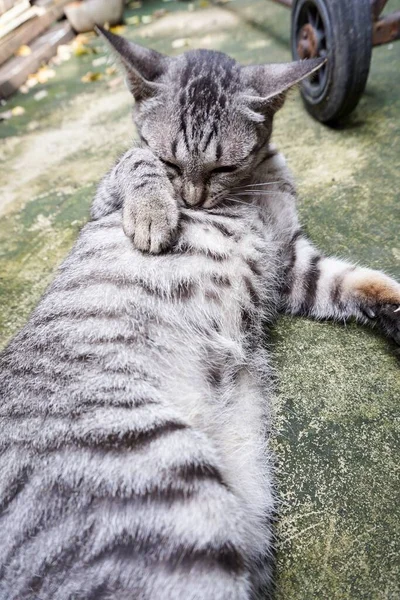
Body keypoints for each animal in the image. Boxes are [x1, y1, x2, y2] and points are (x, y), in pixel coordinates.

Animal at [0, 27, 398, 600]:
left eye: (224, 166)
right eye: (171, 162)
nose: (190, 198)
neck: (252, 188)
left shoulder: (293, 265)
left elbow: (357, 282)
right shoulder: (106, 197)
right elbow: (131, 158)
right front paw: (153, 212)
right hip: (167, 490)